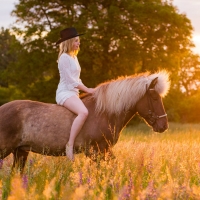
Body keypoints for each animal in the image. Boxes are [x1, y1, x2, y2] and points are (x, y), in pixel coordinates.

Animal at [0, 70, 170, 172]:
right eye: (154, 98)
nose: (164, 126)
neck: (104, 113)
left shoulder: (105, 150)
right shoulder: (96, 151)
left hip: (21, 151)